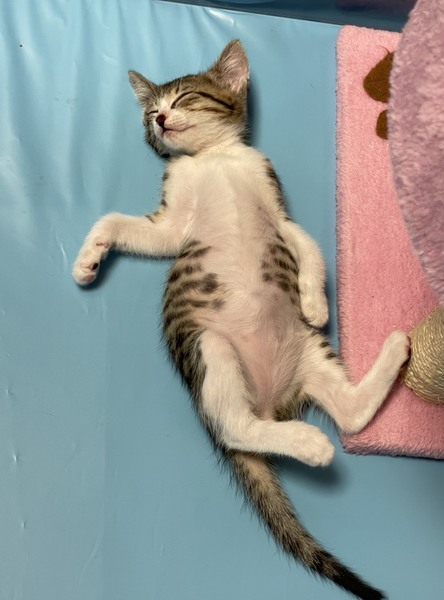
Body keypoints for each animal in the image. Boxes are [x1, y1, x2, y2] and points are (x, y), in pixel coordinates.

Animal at [72, 40, 409, 600]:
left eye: (183, 97)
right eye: (149, 110)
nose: (159, 118)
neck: (214, 158)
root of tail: (274, 402)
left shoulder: (277, 208)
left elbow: (308, 247)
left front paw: (315, 300)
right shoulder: (172, 224)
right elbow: (120, 222)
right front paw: (88, 257)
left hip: (310, 350)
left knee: (350, 413)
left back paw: (395, 350)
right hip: (209, 347)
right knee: (234, 427)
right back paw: (309, 443)